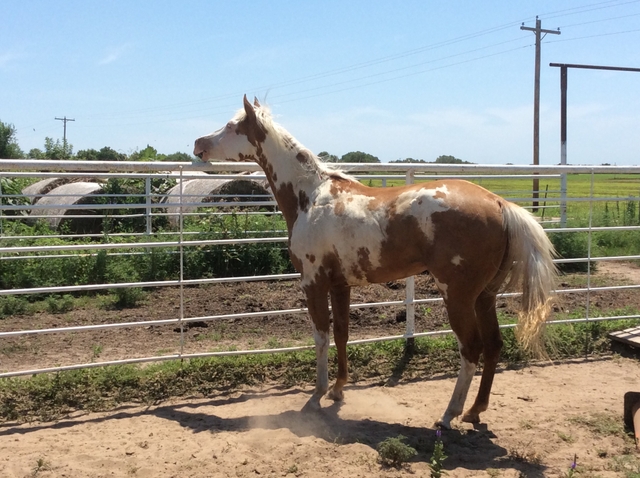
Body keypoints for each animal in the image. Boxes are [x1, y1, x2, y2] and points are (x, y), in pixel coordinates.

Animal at [192, 95, 556, 428]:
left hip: (458, 296)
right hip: (485, 296)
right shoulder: (340, 286)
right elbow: (342, 334)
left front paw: (316, 396)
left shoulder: (313, 282)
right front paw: (338, 390)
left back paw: (448, 415)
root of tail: (499, 203)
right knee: (494, 345)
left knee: (471, 349)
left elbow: (321, 337)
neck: (310, 196)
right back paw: (474, 411)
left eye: (232, 126)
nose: (198, 144)